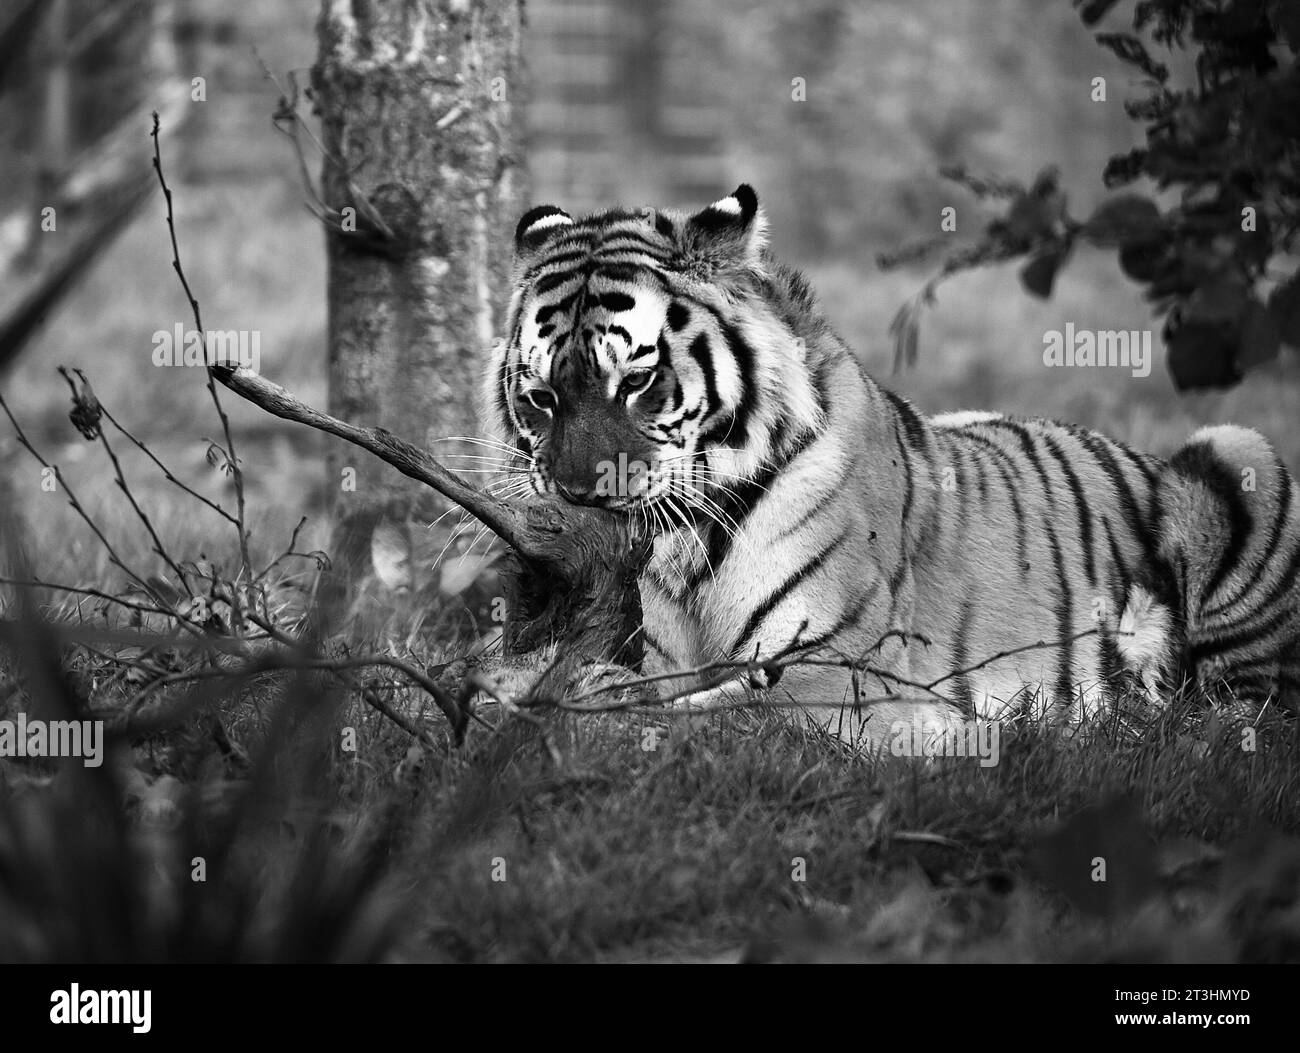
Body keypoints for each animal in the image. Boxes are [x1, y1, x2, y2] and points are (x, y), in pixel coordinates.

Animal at [483, 183, 1300, 748]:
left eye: (638, 381)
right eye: (543, 396)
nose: (577, 492)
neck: (690, 546)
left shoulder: (835, 671)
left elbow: (705, 711)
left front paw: (556, 703)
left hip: (1243, 452)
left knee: (1244, 711)